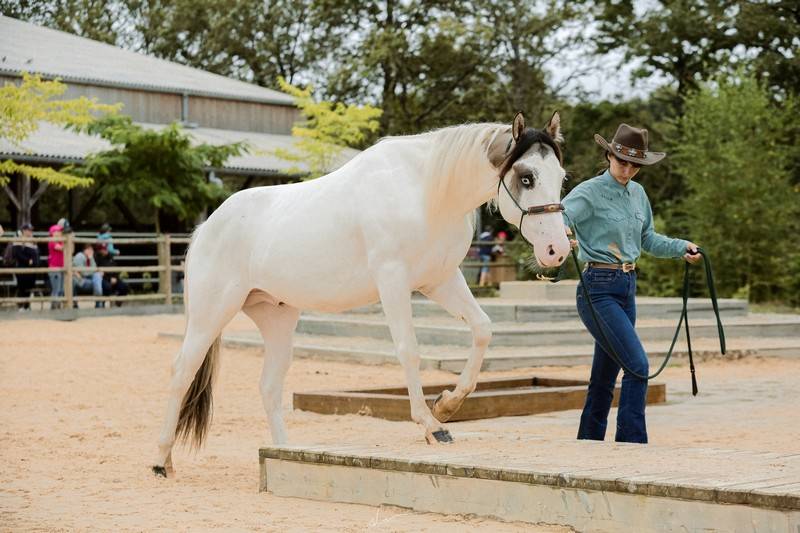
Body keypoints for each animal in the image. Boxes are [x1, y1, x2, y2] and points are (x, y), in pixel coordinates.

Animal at [152, 112, 571, 477]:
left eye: (561, 177)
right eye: (527, 177)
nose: (557, 250)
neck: (424, 192)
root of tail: (207, 226)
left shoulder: (441, 280)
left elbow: (483, 329)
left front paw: (448, 404)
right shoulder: (393, 280)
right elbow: (409, 350)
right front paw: (432, 425)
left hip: (278, 320)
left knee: (269, 387)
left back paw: (282, 453)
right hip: (211, 315)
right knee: (180, 372)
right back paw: (161, 461)